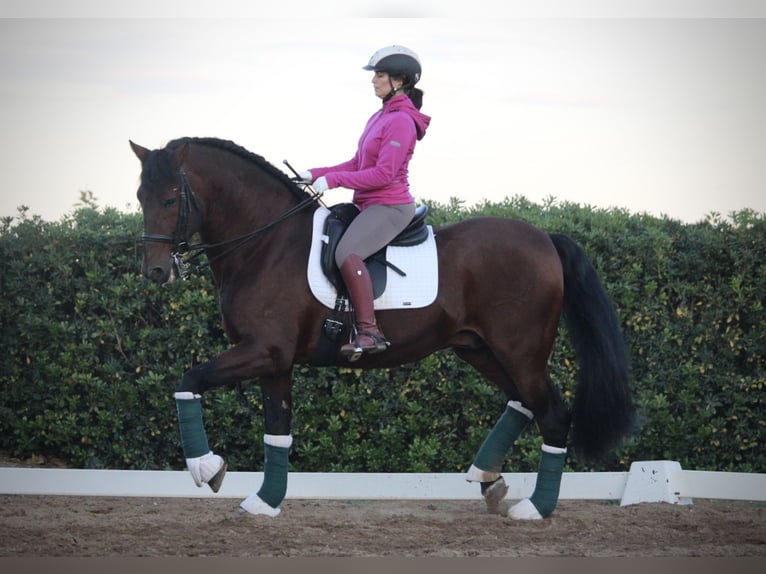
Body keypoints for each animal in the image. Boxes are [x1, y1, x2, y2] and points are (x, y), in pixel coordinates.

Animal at [132, 138, 636, 520]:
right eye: (139, 197)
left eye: (170, 199)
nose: (155, 271)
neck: (266, 243)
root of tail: (545, 239)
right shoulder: (274, 362)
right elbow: (278, 432)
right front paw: (264, 501)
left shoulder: (262, 351)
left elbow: (189, 380)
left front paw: (206, 468)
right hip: (481, 349)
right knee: (524, 404)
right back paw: (488, 480)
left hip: (521, 351)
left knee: (553, 415)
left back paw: (535, 508)